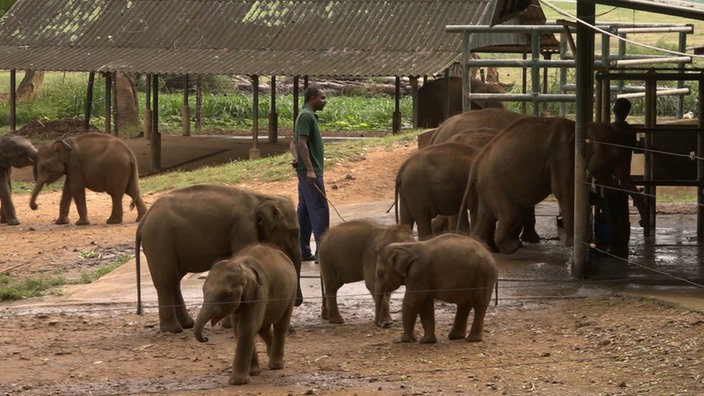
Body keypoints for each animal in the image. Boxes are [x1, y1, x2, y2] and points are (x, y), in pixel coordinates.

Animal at [136, 184, 304, 332]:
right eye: (295, 232)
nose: (298, 302)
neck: (261, 197)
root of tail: (144, 219)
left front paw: (228, 324)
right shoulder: (243, 227)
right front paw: (230, 325)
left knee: (174, 281)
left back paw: (187, 324)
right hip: (160, 241)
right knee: (166, 281)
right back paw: (173, 329)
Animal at [192, 243, 296, 386]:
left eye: (226, 295)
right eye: (203, 291)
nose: (206, 338)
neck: (242, 266)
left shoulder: (259, 292)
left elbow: (247, 327)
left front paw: (239, 382)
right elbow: (238, 329)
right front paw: (253, 373)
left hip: (291, 292)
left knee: (281, 325)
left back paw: (276, 366)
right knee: (263, 327)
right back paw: (270, 354)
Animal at [464, 117, 648, 254]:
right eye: (614, 157)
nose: (641, 223)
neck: (579, 127)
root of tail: (477, 162)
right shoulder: (561, 156)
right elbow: (565, 191)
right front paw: (573, 243)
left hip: (488, 184)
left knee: (487, 214)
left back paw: (484, 246)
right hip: (493, 183)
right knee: (511, 215)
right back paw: (513, 247)